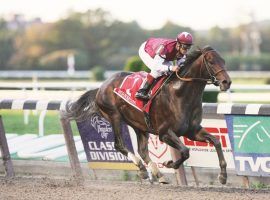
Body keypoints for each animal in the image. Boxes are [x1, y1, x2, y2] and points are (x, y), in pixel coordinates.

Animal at [66, 45, 231, 184]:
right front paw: (169, 163)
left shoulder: (192, 130)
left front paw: (223, 176)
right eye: (211, 61)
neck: (180, 94)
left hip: (139, 125)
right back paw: (142, 169)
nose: (226, 82)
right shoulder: (164, 133)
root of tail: (101, 87)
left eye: (223, 61)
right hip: (114, 116)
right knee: (119, 145)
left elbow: (216, 141)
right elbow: (185, 151)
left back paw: (159, 174)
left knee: (142, 151)